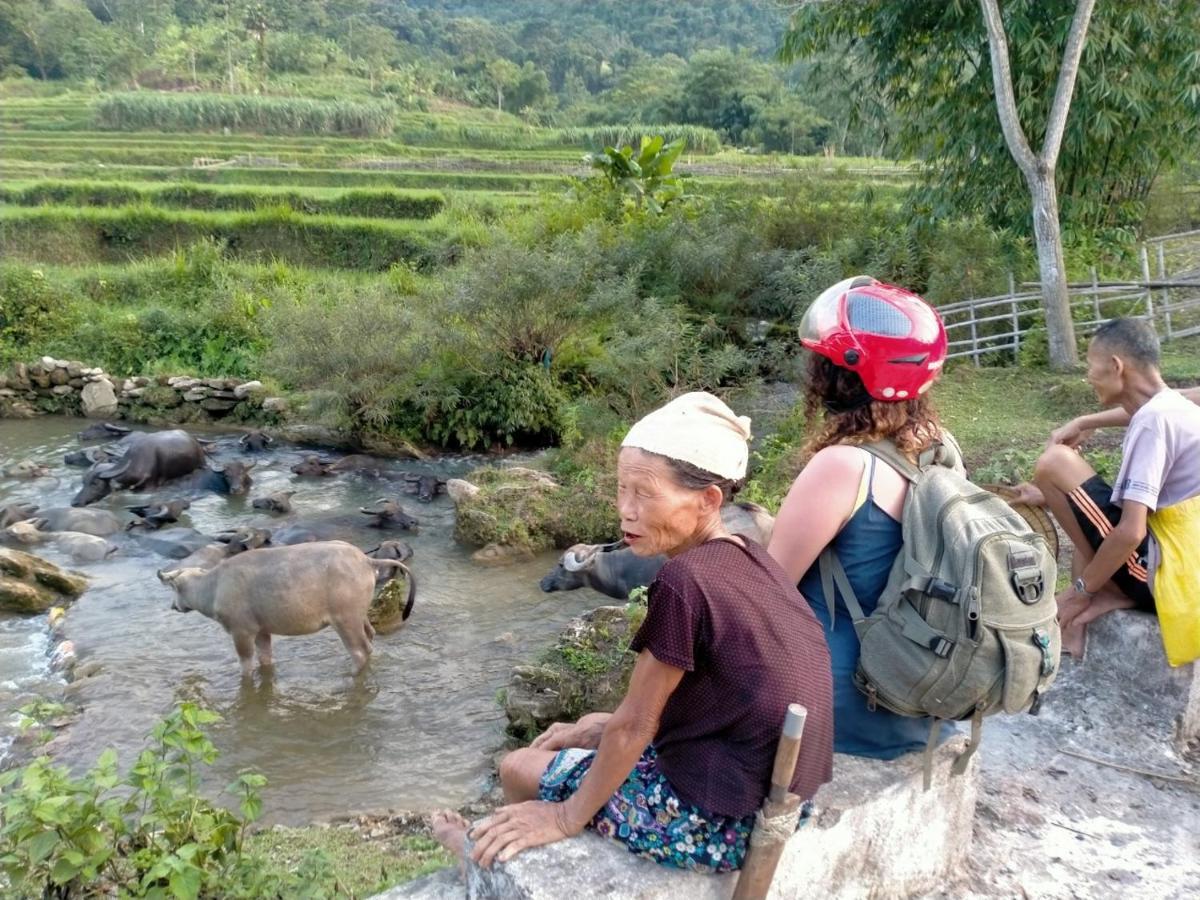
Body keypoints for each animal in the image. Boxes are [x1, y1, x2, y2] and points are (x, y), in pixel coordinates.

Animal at [159, 542, 412, 676]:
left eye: (174, 588)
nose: (172, 605)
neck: (213, 587)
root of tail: (367, 561)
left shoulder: (241, 631)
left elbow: (246, 664)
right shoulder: (261, 630)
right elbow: (265, 658)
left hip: (345, 619)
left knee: (360, 651)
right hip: (359, 615)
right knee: (370, 635)